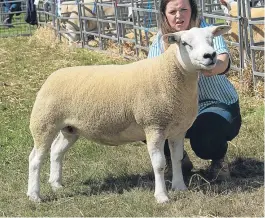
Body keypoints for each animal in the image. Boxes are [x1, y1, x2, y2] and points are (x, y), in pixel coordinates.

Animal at [26, 24, 229, 204]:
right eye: (185, 43)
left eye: (211, 39)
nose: (210, 56)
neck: (170, 74)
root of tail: (53, 76)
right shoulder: (154, 125)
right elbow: (159, 164)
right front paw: (161, 196)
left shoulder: (178, 129)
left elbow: (177, 159)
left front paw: (179, 187)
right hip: (44, 122)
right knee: (35, 158)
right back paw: (34, 195)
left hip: (70, 128)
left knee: (56, 151)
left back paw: (56, 184)